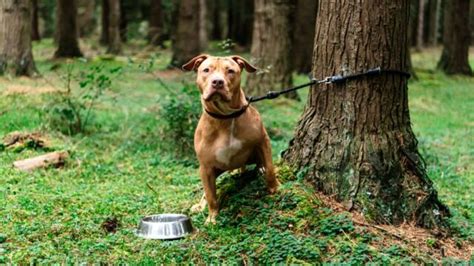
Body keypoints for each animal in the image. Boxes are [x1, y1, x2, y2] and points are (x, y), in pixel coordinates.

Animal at [181, 54, 278, 224]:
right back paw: (200, 206)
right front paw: (212, 218)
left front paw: (274, 189)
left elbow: (270, 169)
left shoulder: (263, 141)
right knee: (206, 193)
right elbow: (211, 195)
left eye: (230, 71)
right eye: (206, 70)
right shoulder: (206, 167)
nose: (217, 82)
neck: (226, 117)